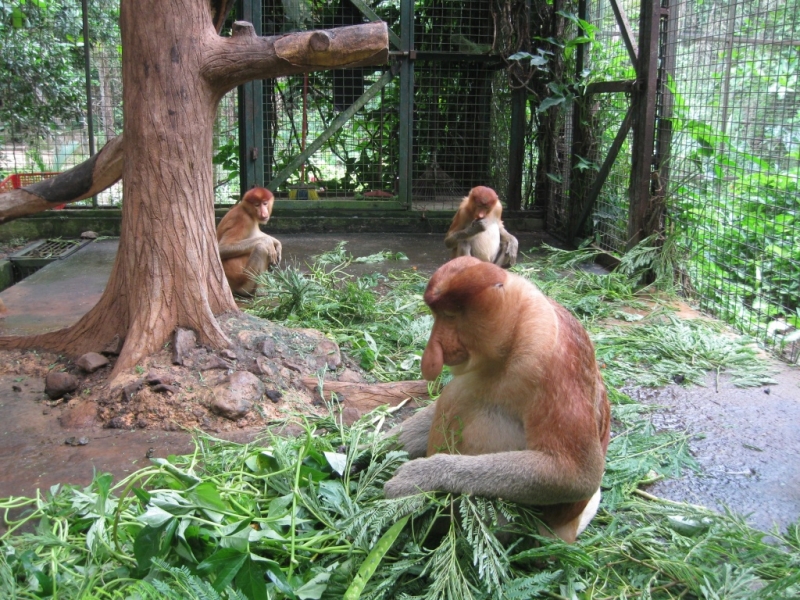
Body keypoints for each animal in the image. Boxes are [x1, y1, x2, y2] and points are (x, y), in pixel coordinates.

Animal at [384, 258, 608, 544]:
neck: (519, 325)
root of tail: (567, 527)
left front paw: (417, 477)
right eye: (436, 315)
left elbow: (577, 473)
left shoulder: (550, 361)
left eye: (450, 315)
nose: (432, 355)